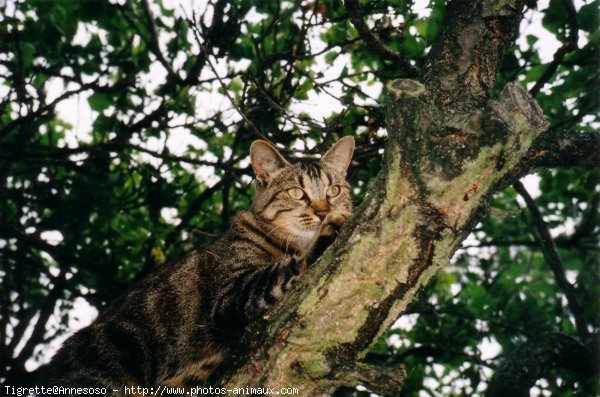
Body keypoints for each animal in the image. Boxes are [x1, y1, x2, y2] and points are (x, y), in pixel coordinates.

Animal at [35, 135, 354, 392]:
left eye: (334, 191)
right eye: (296, 193)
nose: (324, 211)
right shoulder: (233, 295)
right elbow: (289, 266)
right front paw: (326, 233)